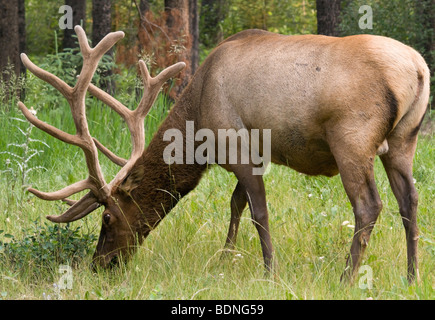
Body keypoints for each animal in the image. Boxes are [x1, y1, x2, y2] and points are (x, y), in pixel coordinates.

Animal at [19, 26, 430, 282]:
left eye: (107, 218)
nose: (100, 265)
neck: (198, 125)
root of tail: (418, 68)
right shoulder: (251, 153)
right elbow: (237, 204)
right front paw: (225, 257)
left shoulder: (237, 145)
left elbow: (259, 212)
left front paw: (269, 272)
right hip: (403, 140)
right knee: (409, 199)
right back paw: (412, 276)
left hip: (351, 138)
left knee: (369, 205)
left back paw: (345, 278)